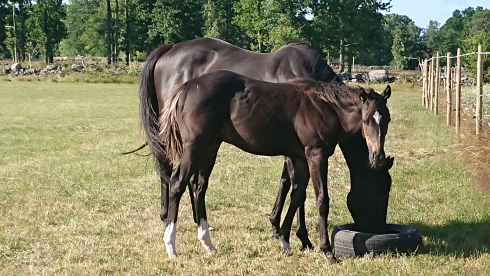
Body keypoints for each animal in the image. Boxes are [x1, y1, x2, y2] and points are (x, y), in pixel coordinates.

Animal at [159, 70, 392, 262]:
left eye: (387, 119)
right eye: (367, 120)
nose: (377, 156)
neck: (325, 107)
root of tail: (186, 87)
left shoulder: (300, 158)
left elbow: (297, 196)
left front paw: (285, 241)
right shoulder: (316, 154)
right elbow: (321, 200)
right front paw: (326, 251)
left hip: (210, 146)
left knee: (199, 186)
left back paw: (208, 244)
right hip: (194, 146)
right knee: (177, 182)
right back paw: (171, 248)